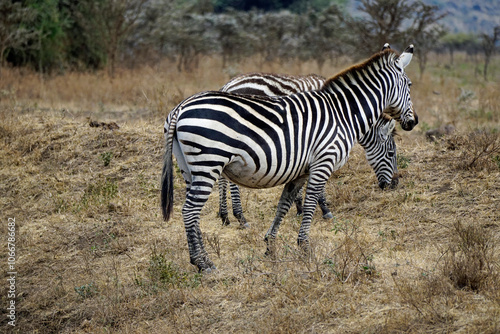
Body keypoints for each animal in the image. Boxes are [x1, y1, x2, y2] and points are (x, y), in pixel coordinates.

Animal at [218, 72, 398, 228]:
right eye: (391, 154)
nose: (394, 185)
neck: (344, 110)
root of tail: (229, 84)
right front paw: (323, 208)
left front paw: (299, 206)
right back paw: (240, 216)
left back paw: (224, 215)